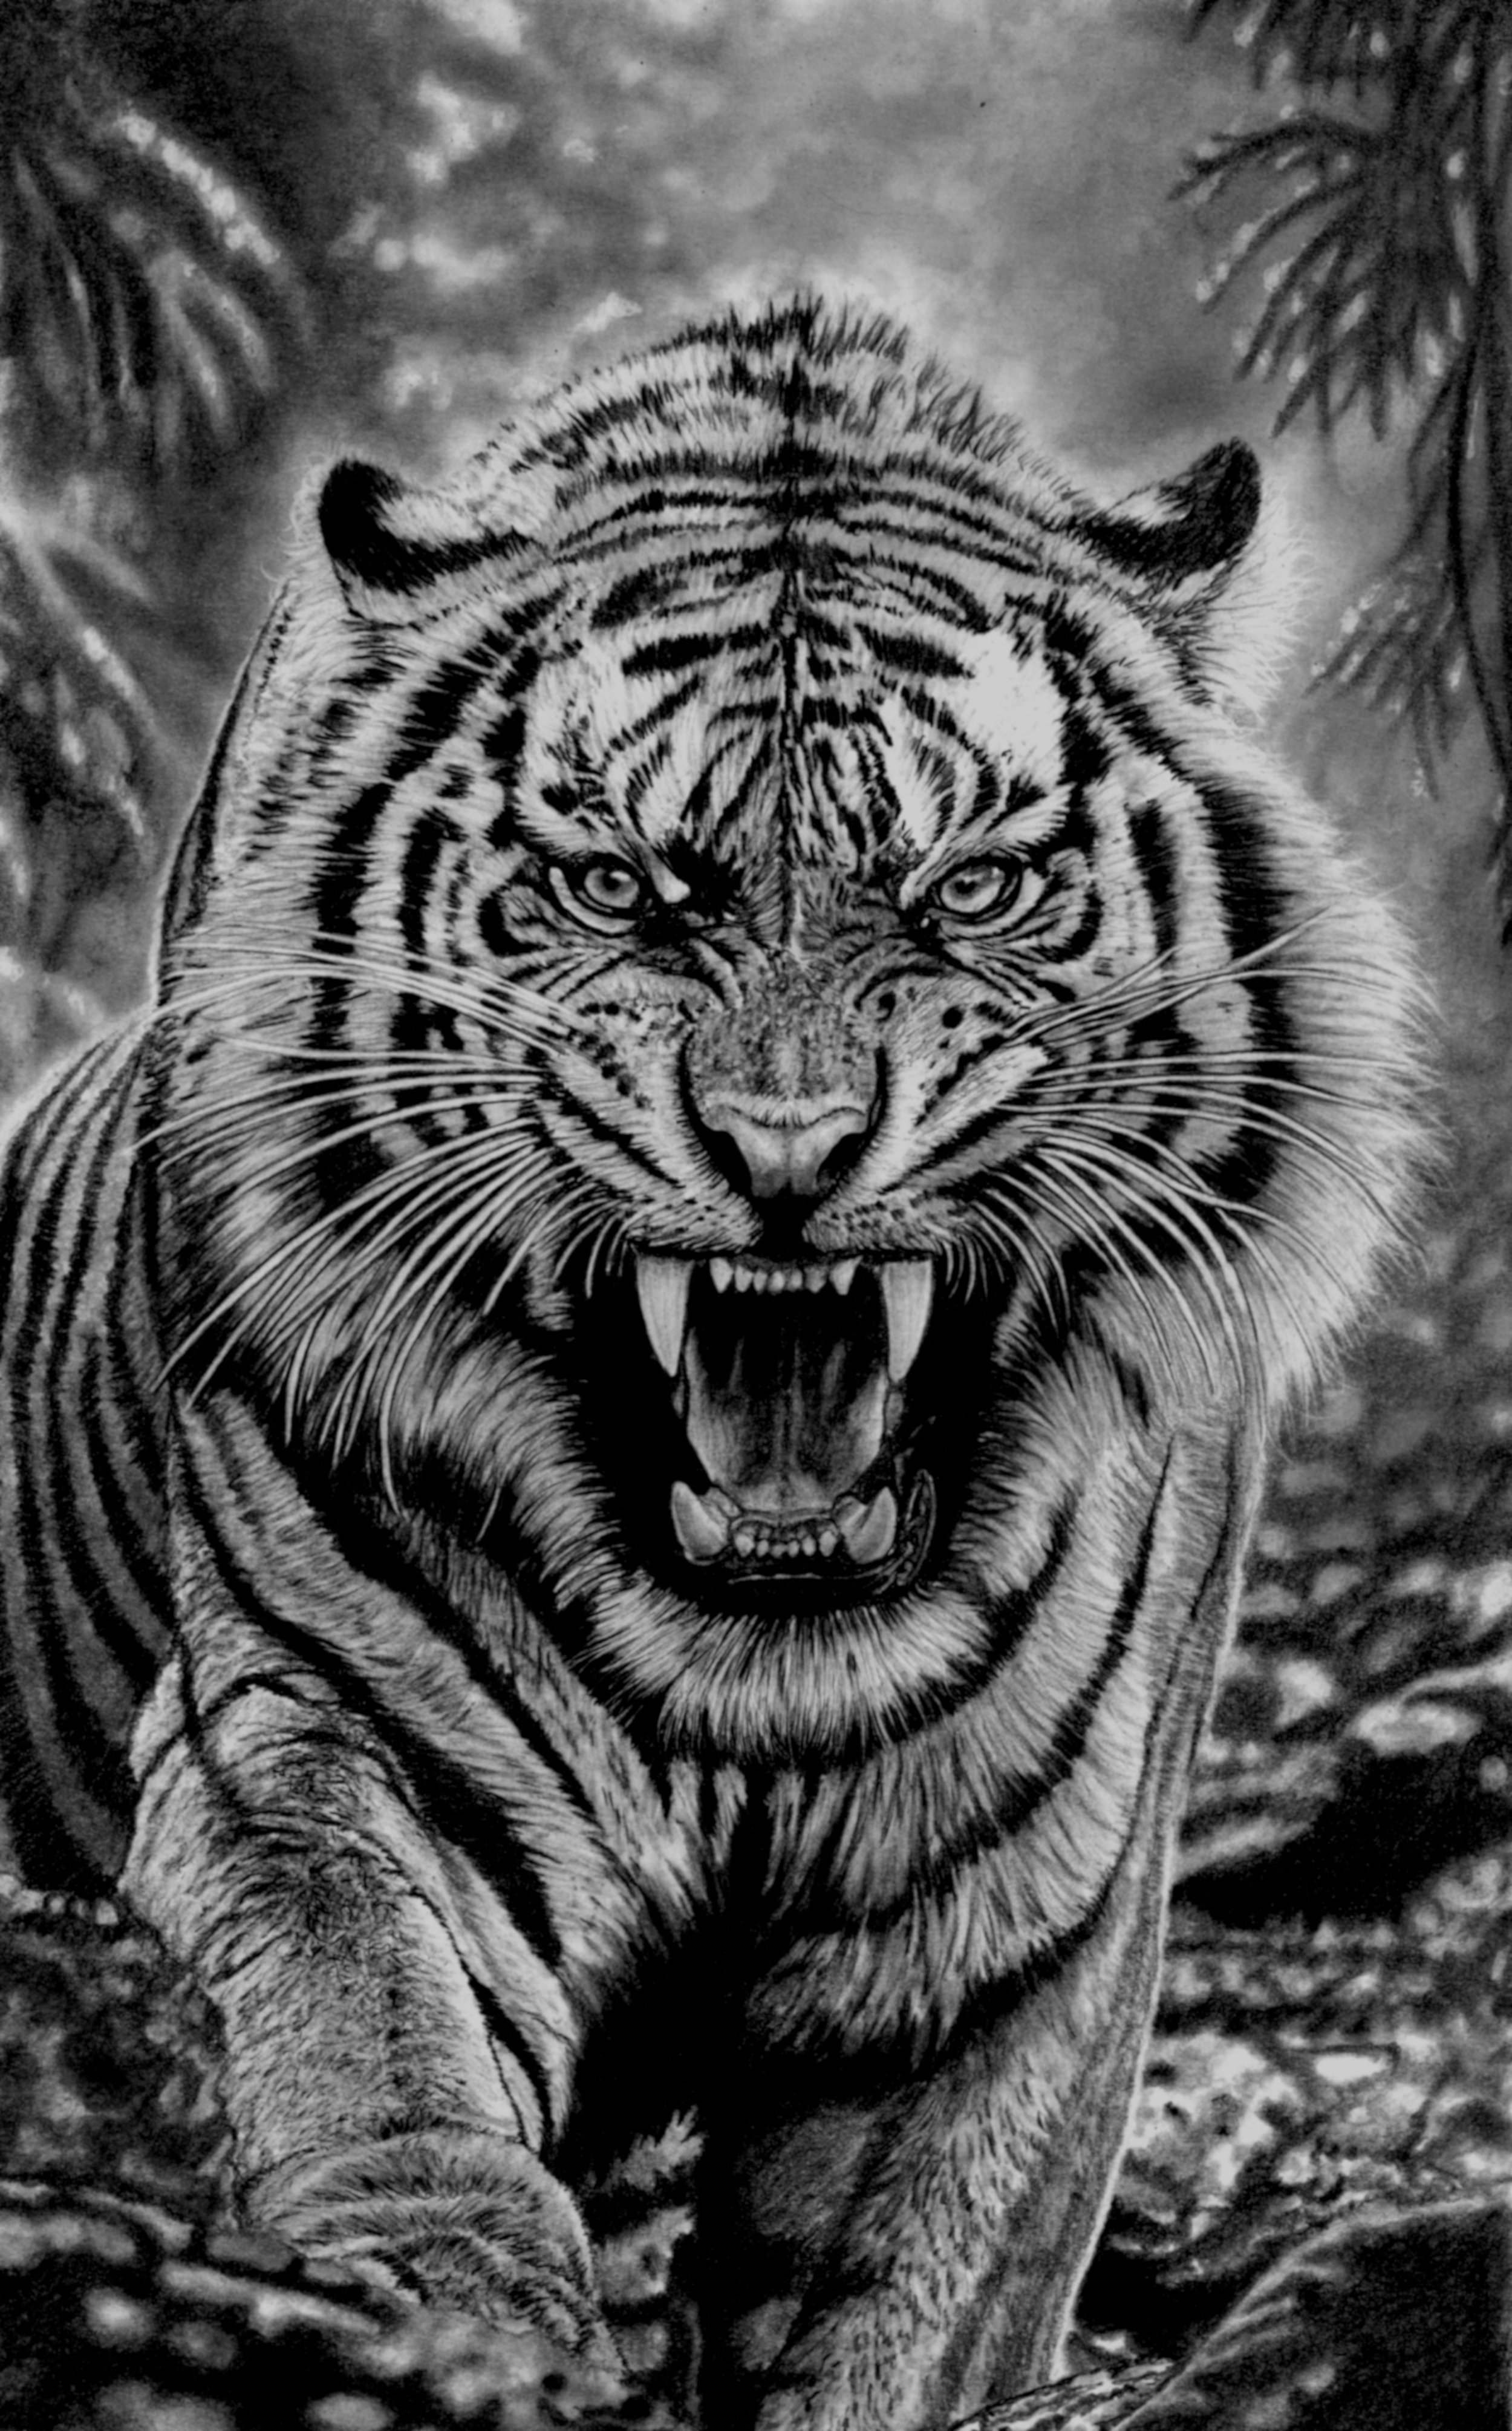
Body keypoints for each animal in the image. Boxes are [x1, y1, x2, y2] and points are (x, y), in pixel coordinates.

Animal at [0, 297, 1421, 2430]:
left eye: (971, 888)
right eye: (615, 888)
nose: (785, 1146)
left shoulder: (1019, 1926)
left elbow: (896, 2312)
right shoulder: (320, 1719)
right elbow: (371, 2019)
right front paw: (432, 2306)